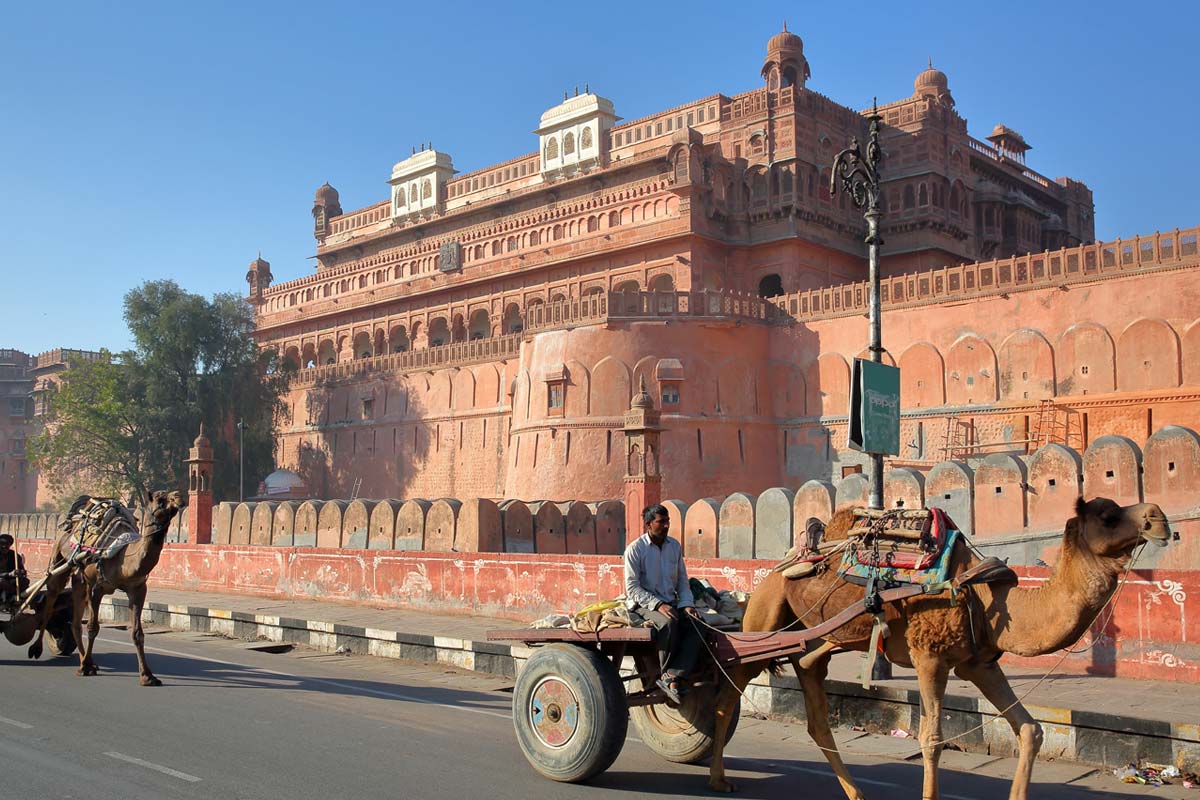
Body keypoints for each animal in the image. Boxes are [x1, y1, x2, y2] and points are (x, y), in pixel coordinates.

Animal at [27, 491, 184, 686]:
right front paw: (86, 668)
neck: (124, 556)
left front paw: (148, 676)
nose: (179, 497)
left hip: (79, 579)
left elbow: (137, 633)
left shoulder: (137, 589)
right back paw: (38, 649)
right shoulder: (97, 587)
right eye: (159, 499)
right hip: (59, 558)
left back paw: (87, 661)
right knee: (50, 602)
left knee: (75, 621)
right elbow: (93, 627)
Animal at [710, 496, 1171, 796]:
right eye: (1109, 515)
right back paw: (718, 777)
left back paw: (855, 793)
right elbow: (932, 740)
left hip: (827, 636)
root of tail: (783, 562)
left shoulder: (978, 662)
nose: (1159, 518)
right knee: (731, 688)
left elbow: (1030, 729)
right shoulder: (929, 656)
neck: (983, 593)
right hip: (765, 616)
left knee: (811, 688)